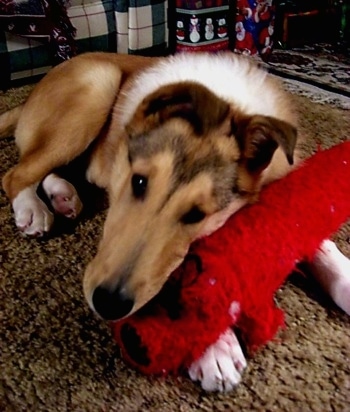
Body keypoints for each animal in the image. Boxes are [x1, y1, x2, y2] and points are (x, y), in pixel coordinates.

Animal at [1, 52, 348, 392]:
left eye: (196, 214)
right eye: (139, 182)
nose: (108, 304)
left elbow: (318, 241)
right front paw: (215, 350)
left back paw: (63, 195)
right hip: (96, 88)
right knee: (16, 174)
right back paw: (31, 209)